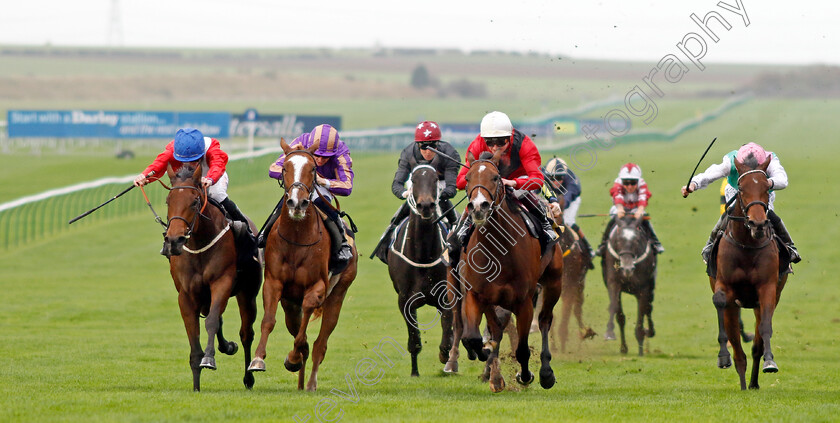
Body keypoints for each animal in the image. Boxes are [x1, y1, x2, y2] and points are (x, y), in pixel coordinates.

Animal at [161, 162, 260, 390]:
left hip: (248, 293)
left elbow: (212, 322)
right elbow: (194, 333)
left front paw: (209, 359)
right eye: (168, 200)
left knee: (246, 334)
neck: (199, 242)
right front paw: (196, 384)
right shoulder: (186, 295)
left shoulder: (221, 282)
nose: (174, 240)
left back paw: (248, 377)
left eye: (194, 201)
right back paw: (228, 346)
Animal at [246, 138, 358, 390]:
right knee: (298, 329)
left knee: (320, 344)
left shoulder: (317, 286)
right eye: (285, 168)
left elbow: (307, 319)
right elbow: (268, 320)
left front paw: (294, 356)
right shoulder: (274, 283)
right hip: (290, 304)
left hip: (339, 293)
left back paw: (310, 382)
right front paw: (258, 359)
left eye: (313, 169)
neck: (297, 237)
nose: (297, 203)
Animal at [388, 165, 452, 378]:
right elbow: (414, 339)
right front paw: (414, 372)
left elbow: (448, 326)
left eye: (435, 179)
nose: (426, 205)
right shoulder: (405, 300)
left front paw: (444, 354)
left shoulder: (445, 295)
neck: (423, 254)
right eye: (414, 180)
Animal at [442, 150, 560, 394]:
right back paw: (493, 375)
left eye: (496, 178)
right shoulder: (475, 295)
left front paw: (525, 375)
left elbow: (522, 348)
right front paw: (483, 353)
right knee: (492, 328)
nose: (479, 206)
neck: (498, 249)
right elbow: (472, 337)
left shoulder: (524, 300)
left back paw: (545, 373)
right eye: (467, 178)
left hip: (554, 282)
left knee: (544, 320)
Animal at [708, 155, 788, 390]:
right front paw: (722, 356)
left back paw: (752, 383)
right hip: (734, 307)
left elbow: (765, 329)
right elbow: (719, 301)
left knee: (755, 346)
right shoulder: (724, 286)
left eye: (766, 187)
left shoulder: (767, 289)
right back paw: (741, 379)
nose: (758, 223)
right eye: (741, 188)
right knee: (738, 349)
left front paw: (770, 362)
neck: (747, 244)